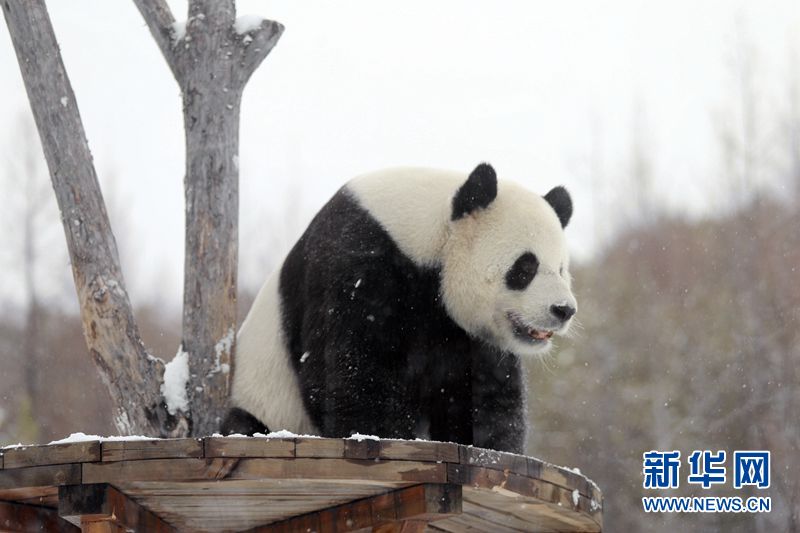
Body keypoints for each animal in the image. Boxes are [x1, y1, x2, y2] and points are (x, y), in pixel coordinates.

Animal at [221, 163, 576, 454]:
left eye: (561, 269)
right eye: (525, 268)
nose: (563, 310)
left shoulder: (466, 333)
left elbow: (481, 392)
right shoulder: (357, 262)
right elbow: (354, 370)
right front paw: (384, 435)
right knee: (241, 423)